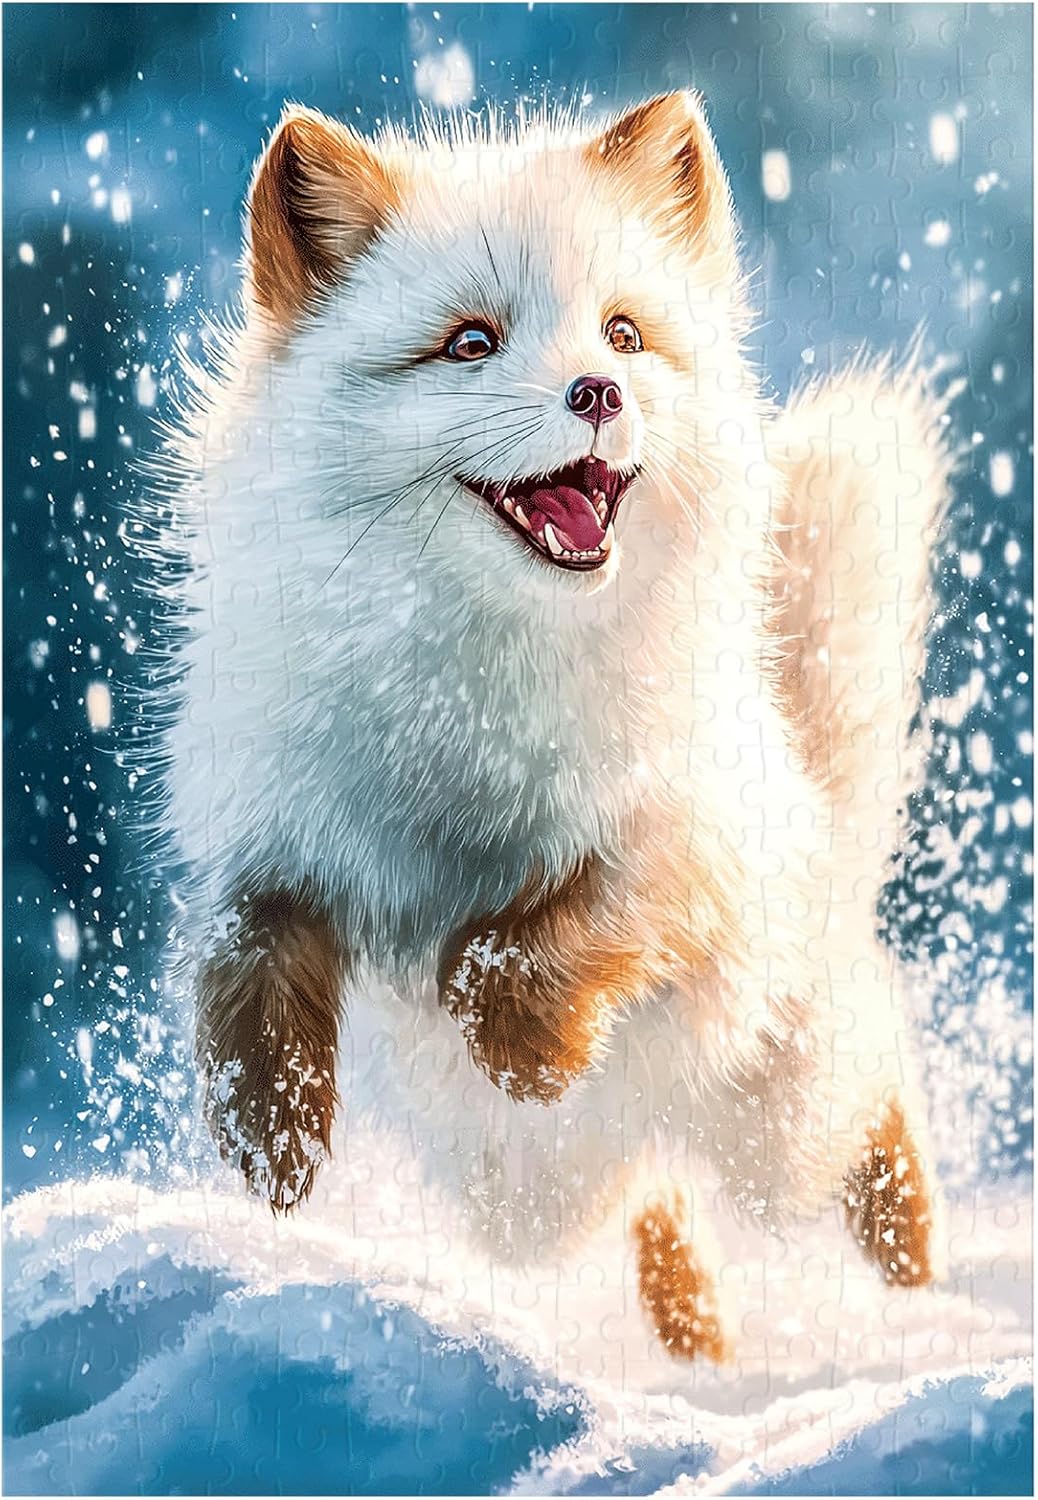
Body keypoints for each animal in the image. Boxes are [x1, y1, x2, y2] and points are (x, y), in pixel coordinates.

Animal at [158, 91, 956, 1361]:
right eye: (470, 343)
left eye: (622, 334)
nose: (597, 393)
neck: (470, 706)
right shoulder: (276, 838)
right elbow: (240, 960)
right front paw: (272, 1135)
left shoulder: (675, 843)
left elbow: (521, 948)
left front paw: (527, 1047)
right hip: (522, 1214)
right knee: (656, 1204)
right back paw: (699, 1347)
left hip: (773, 1126)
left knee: (868, 1090)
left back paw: (919, 1287)